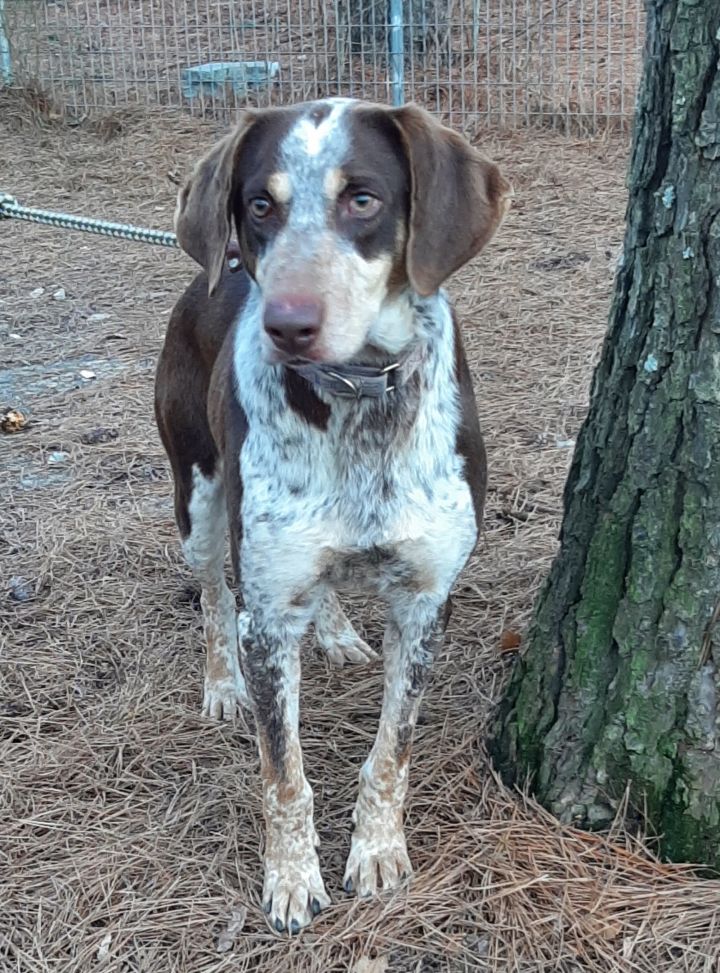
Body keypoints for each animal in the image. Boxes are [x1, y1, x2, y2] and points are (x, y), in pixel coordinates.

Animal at [155, 97, 510, 936]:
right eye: (260, 204)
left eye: (364, 199)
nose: (287, 323)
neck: (358, 398)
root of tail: (210, 273)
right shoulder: (268, 611)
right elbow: (283, 774)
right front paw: (291, 878)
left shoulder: (425, 602)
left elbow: (392, 753)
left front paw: (378, 852)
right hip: (199, 502)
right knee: (212, 597)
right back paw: (222, 682)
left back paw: (340, 631)